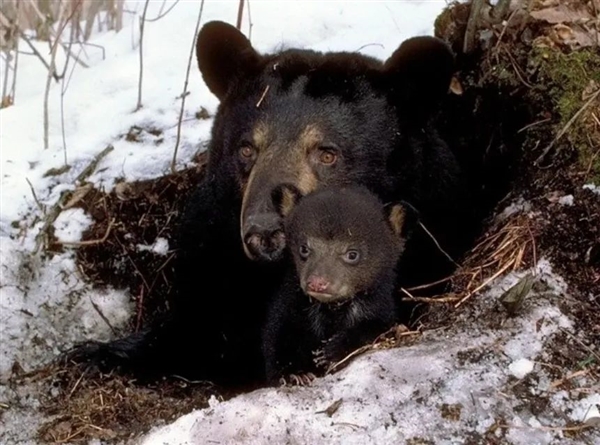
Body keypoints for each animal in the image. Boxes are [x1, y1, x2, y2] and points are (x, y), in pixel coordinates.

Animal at [262, 186, 418, 384]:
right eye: (304, 248)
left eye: (352, 254)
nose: (317, 282)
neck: (333, 309)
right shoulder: (291, 305)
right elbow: (278, 336)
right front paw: (295, 374)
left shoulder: (378, 307)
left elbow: (375, 327)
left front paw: (330, 351)